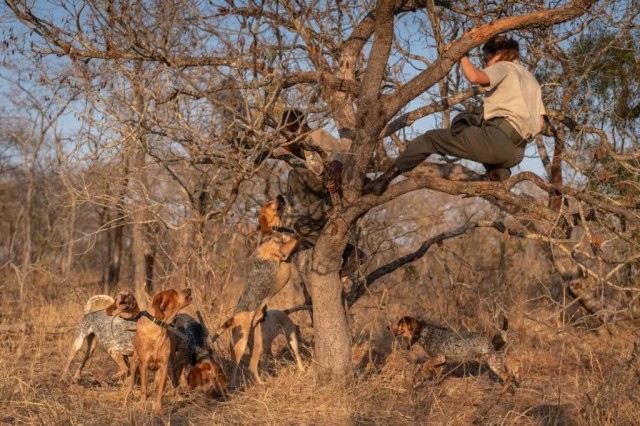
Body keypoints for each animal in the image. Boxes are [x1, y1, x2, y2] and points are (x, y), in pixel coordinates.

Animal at [388, 314, 516, 392]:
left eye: (399, 323)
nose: (387, 327)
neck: (423, 332)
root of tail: (491, 342)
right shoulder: (441, 362)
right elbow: (433, 373)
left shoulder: (439, 358)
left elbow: (425, 366)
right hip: (494, 365)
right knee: (507, 377)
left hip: (494, 364)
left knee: (508, 377)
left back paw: (503, 391)